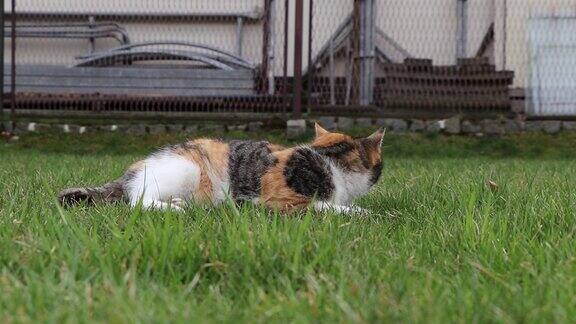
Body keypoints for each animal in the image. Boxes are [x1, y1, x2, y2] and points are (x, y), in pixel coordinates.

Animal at [58, 125, 384, 214]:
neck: (326, 158)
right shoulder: (280, 201)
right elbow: (324, 205)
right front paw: (362, 212)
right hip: (186, 169)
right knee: (137, 200)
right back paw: (173, 207)